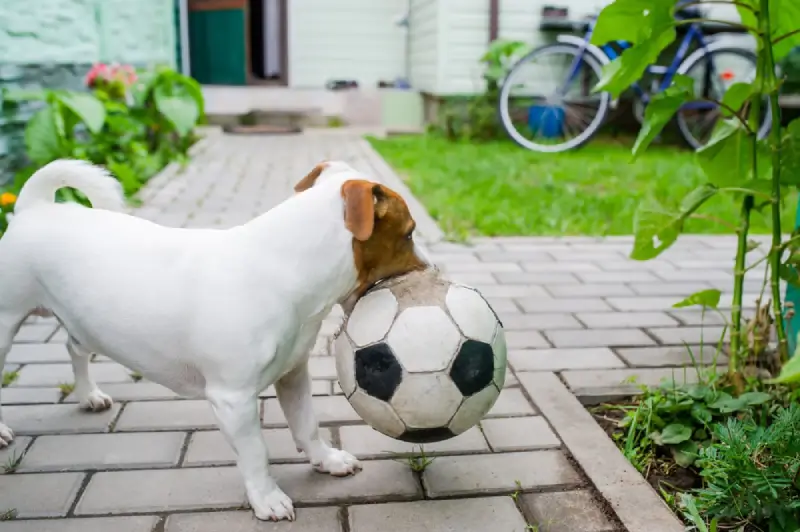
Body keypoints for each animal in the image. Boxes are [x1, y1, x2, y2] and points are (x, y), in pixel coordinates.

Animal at [0, 157, 428, 520]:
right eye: (409, 234)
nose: (430, 268)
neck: (285, 268)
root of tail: (35, 209)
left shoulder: (293, 374)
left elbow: (307, 424)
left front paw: (326, 460)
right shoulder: (232, 399)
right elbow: (255, 452)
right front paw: (267, 498)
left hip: (83, 321)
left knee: (74, 347)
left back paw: (89, 394)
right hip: (6, 322)